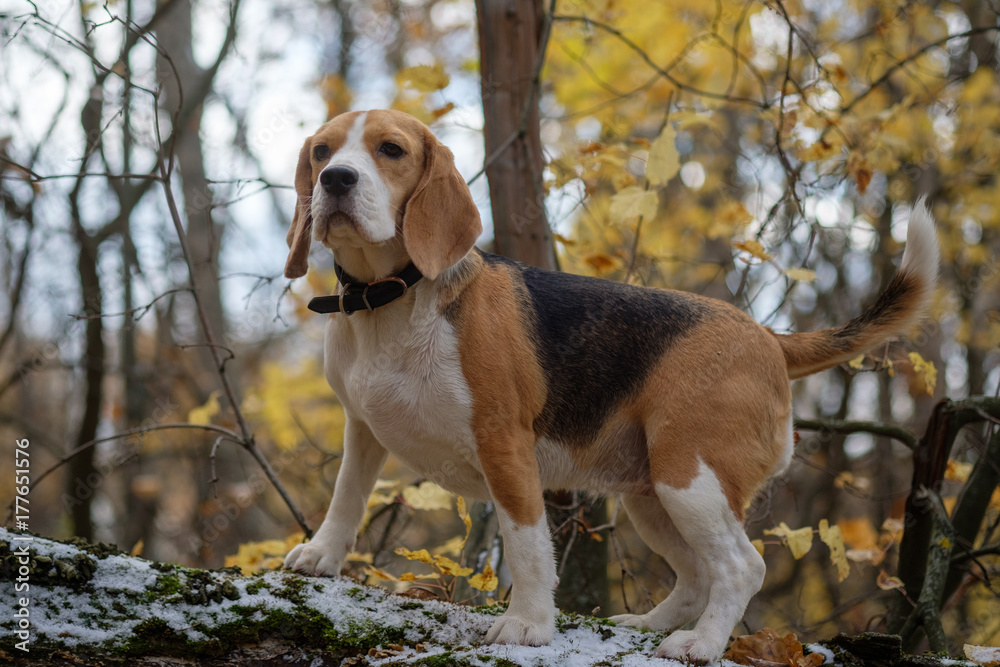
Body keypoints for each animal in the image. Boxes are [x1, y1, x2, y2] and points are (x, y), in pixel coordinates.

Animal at [282, 109, 936, 664]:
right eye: (321, 152)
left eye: (390, 150)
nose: (336, 179)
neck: (389, 299)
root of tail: (767, 335)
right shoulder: (363, 427)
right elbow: (347, 495)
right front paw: (322, 556)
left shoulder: (504, 443)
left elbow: (526, 544)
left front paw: (528, 625)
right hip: (652, 495)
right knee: (696, 575)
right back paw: (649, 624)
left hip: (690, 477)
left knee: (740, 567)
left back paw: (699, 643)